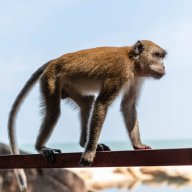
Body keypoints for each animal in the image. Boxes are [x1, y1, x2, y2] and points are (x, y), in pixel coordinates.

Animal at [7, 39, 166, 191]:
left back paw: (84, 142)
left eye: (162, 56)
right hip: (50, 79)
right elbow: (101, 104)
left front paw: (138, 145)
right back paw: (42, 147)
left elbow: (127, 106)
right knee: (54, 113)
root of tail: (55, 60)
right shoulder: (120, 73)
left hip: (68, 85)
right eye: (157, 55)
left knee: (87, 103)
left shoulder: (135, 78)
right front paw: (89, 153)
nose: (164, 66)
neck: (133, 61)